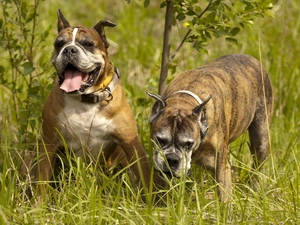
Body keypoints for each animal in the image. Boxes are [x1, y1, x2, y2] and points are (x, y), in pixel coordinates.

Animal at [24, 8, 154, 195]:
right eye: (59, 44)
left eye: (88, 44)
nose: (69, 50)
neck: (85, 100)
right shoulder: (49, 143)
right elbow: (42, 179)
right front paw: (39, 202)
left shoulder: (131, 144)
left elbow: (145, 176)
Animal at [146, 53, 274, 201]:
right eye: (160, 139)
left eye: (188, 144)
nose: (172, 159)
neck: (183, 102)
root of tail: (252, 59)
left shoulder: (221, 168)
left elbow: (224, 197)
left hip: (261, 139)